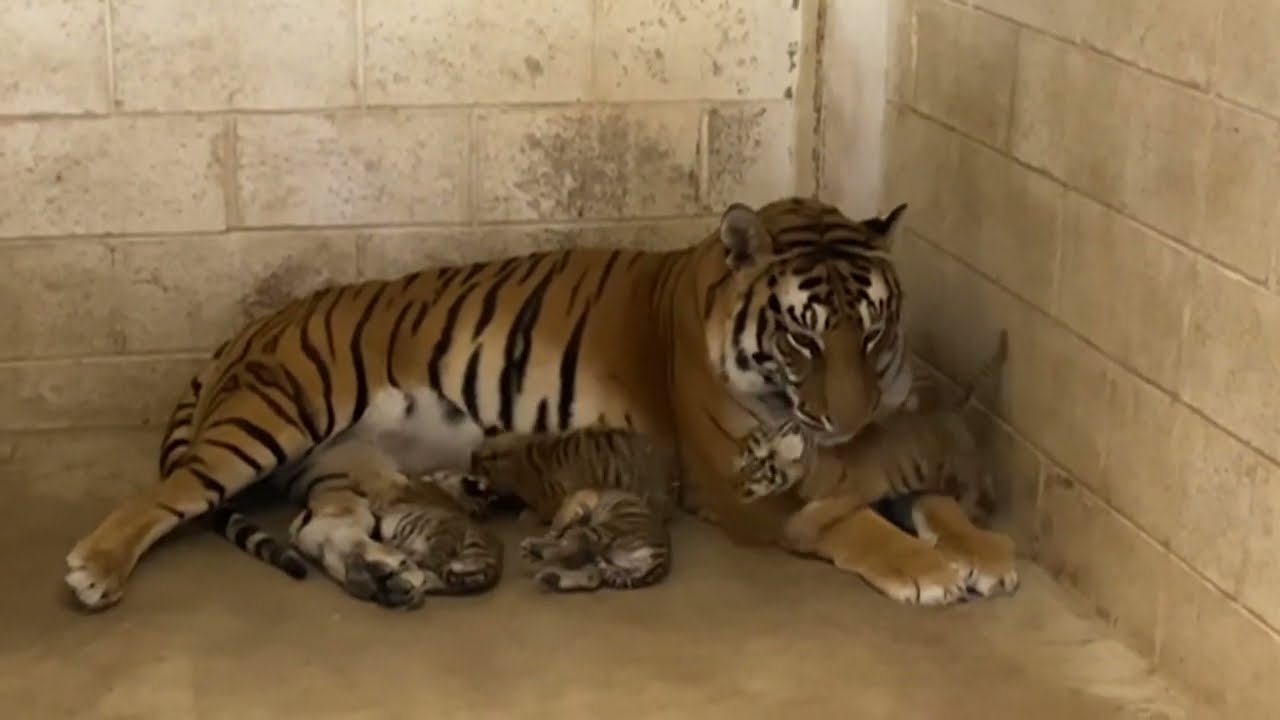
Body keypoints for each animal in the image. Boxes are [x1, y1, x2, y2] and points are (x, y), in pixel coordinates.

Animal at [469, 427, 680, 592]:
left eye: (476, 463)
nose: (469, 473)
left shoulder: (556, 501)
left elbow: (551, 521)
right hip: (603, 556)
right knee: (591, 575)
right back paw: (551, 574)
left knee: (575, 540)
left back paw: (541, 551)